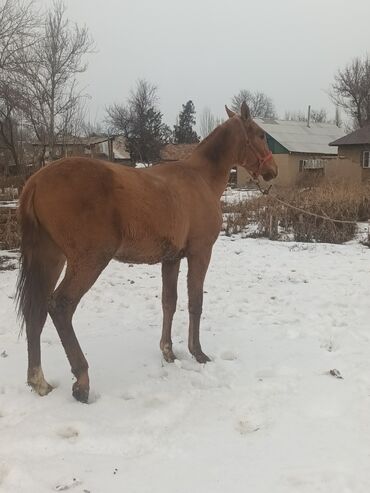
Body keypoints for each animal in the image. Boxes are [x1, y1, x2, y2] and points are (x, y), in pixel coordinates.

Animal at [16, 102, 278, 402]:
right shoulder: (200, 253)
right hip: (89, 261)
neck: (200, 178)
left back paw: (38, 381)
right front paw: (197, 352)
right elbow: (195, 302)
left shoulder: (171, 259)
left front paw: (168, 351)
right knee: (60, 306)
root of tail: (36, 181)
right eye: (260, 134)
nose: (273, 170)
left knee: (36, 311)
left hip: (50, 259)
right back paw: (81, 382)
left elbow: (169, 302)